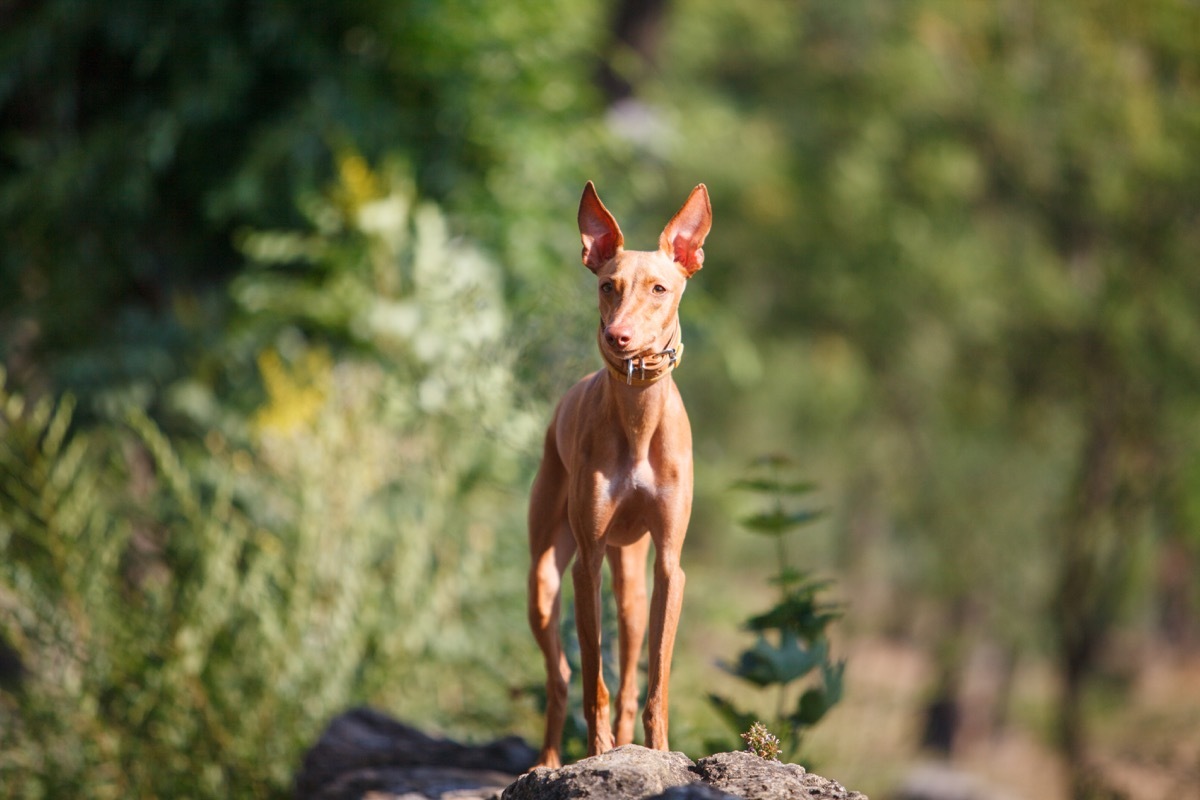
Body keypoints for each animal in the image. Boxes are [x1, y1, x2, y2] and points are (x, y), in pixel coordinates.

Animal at [528, 181, 710, 767]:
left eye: (659, 288)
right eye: (608, 286)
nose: (617, 336)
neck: (637, 421)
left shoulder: (670, 566)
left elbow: (655, 684)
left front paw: (658, 752)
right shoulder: (587, 565)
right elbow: (594, 681)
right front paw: (598, 753)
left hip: (630, 584)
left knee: (630, 678)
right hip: (545, 580)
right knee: (561, 677)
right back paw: (549, 761)